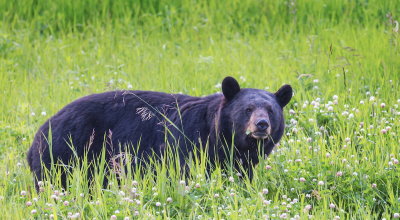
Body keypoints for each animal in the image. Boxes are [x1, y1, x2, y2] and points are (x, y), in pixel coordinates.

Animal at [26, 76, 292, 190]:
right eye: (247, 109)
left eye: (271, 110)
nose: (261, 125)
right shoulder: (187, 144)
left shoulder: (241, 161)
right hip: (65, 153)